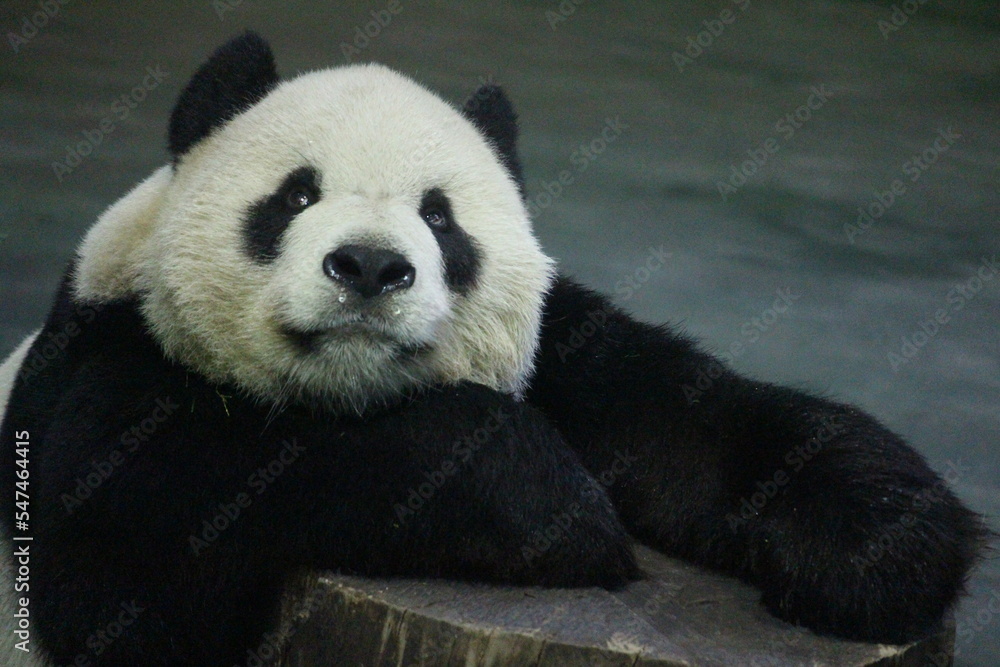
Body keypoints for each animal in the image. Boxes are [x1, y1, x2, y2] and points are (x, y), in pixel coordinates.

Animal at [0, 32, 988, 665]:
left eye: (441, 217)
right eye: (295, 194)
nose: (370, 265)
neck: (347, 397)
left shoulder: (563, 352)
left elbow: (688, 418)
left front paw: (881, 540)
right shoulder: (106, 361)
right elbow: (131, 557)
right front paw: (547, 503)